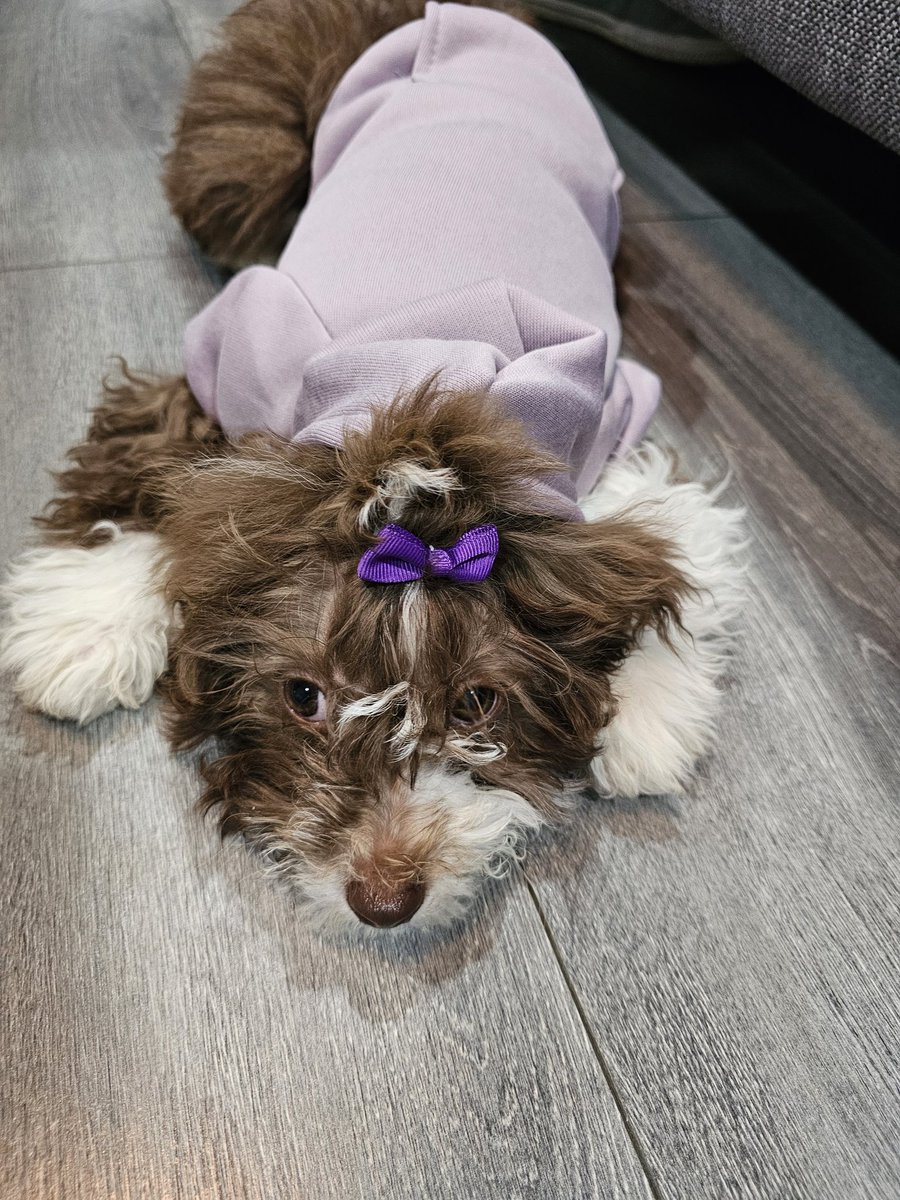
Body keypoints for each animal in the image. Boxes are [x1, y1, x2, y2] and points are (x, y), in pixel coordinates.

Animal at [1, 0, 748, 931]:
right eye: (303, 696)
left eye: (477, 701)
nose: (384, 896)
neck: (423, 372)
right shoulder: (231, 355)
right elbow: (154, 460)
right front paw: (84, 624)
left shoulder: (612, 409)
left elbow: (665, 543)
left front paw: (647, 715)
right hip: (244, 158)